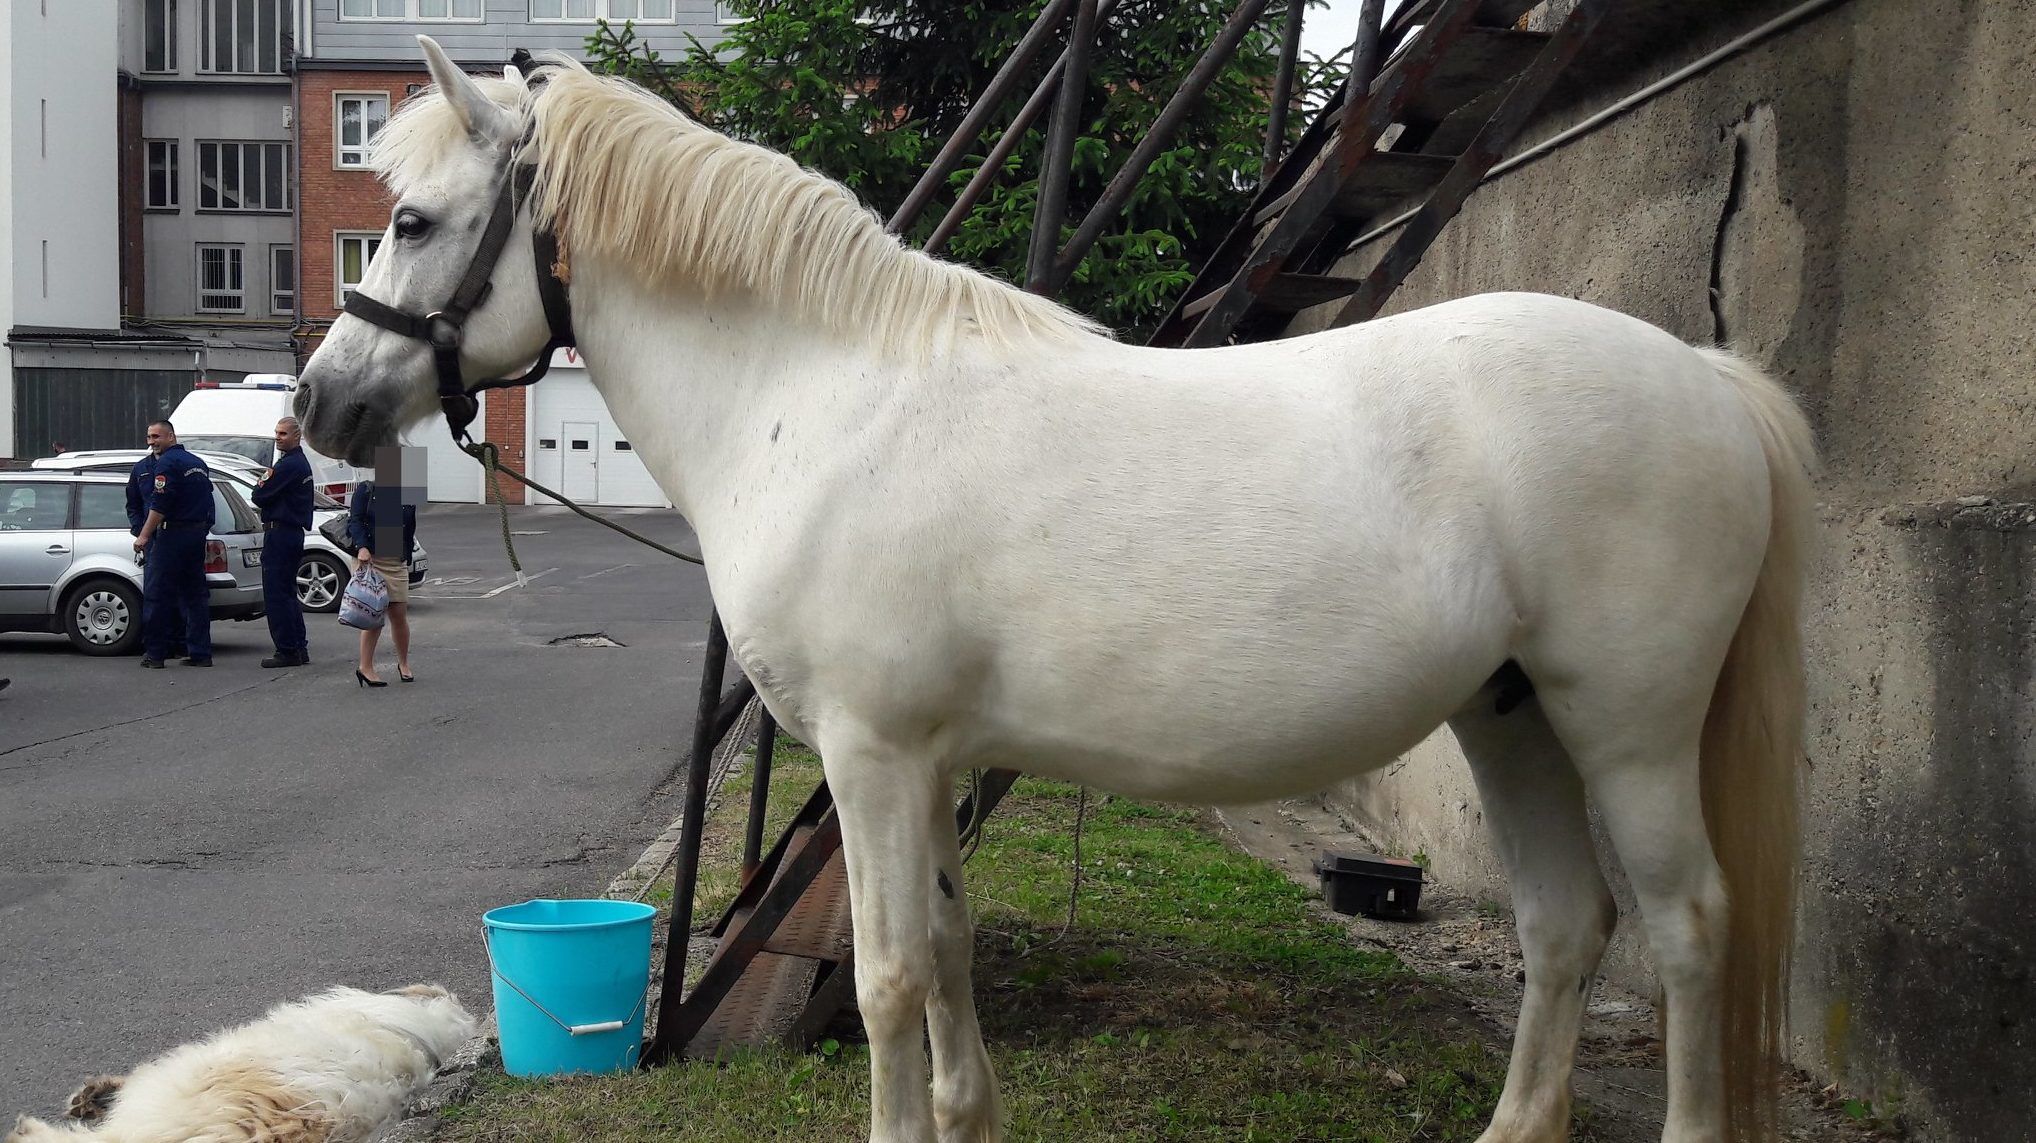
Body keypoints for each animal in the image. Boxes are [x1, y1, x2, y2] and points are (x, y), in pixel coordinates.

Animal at [297, 37, 1816, 1140]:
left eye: (414, 220)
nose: (317, 407)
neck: (822, 395)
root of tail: (1706, 379)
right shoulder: (928, 764)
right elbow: (950, 950)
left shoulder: (873, 754)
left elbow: (893, 975)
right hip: (1512, 716)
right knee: (1566, 925)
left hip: (1627, 725)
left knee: (1687, 929)